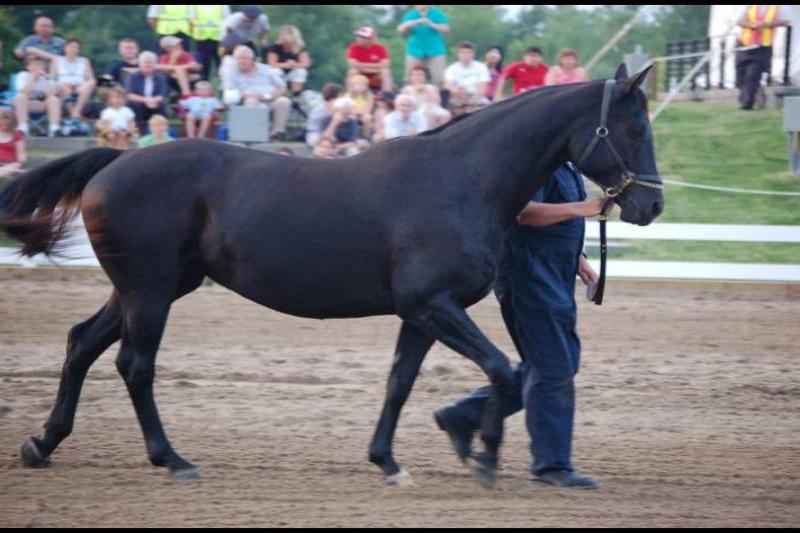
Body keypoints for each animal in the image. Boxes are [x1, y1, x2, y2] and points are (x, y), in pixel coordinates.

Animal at [0, 64, 663, 486]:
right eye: (634, 128)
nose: (651, 205)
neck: (461, 178)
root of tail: (116, 159)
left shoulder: (421, 312)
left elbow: (400, 382)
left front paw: (389, 463)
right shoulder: (436, 305)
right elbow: (503, 369)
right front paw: (485, 459)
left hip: (145, 289)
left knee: (81, 343)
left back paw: (42, 445)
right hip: (151, 291)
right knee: (134, 365)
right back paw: (173, 460)